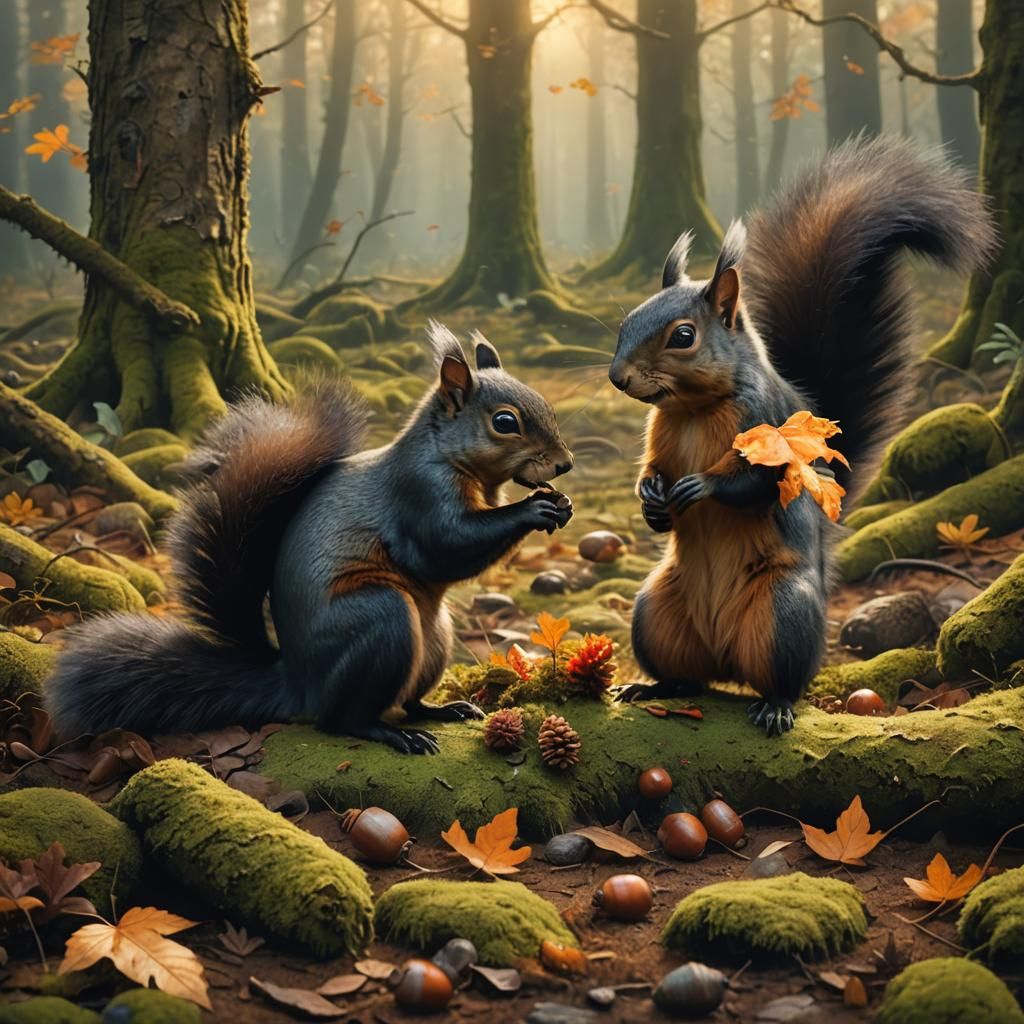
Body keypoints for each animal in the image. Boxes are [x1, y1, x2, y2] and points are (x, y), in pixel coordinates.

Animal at [45, 323, 574, 754]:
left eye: (547, 406)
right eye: (504, 422)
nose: (565, 464)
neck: (452, 460)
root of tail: (298, 681)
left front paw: (561, 504)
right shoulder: (419, 493)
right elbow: (445, 548)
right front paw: (534, 509)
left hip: (435, 637)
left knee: (408, 699)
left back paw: (443, 710)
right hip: (383, 619)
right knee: (342, 719)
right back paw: (391, 734)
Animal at [608, 135, 996, 736]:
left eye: (684, 336)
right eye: (628, 322)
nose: (618, 376)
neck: (695, 410)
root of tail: (727, 662)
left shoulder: (766, 428)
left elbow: (758, 483)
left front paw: (700, 487)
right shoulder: (662, 438)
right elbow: (654, 476)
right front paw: (651, 498)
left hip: (783, 614)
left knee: (785, 677)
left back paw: (775, 704)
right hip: (654, 611)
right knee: (685, 677)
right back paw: (653, 685)